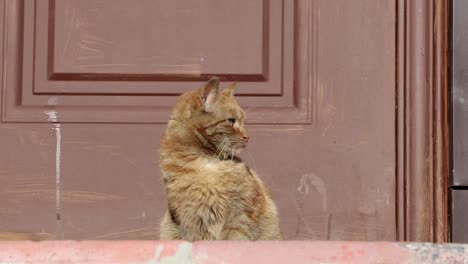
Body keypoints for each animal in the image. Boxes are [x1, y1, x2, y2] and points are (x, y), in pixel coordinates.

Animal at [157, 77, 282, 240]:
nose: (247, 137)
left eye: (244, 122)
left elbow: (234, 239)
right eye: (231, 121)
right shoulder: (192, 220)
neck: (204, 163)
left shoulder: (239, 216)